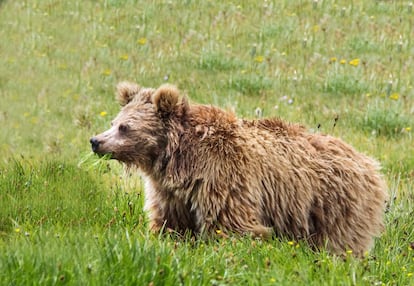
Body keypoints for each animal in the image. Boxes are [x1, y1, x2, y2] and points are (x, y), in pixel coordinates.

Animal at [90, 81, 388, 256]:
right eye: (114, 121)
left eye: (124, 127)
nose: (96, 141)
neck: (177, 158)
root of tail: (369, 162)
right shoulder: (170, 191)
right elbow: (170, 222)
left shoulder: (221, 176)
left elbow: (232, 224)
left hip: (336, 203)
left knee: (341, 241)